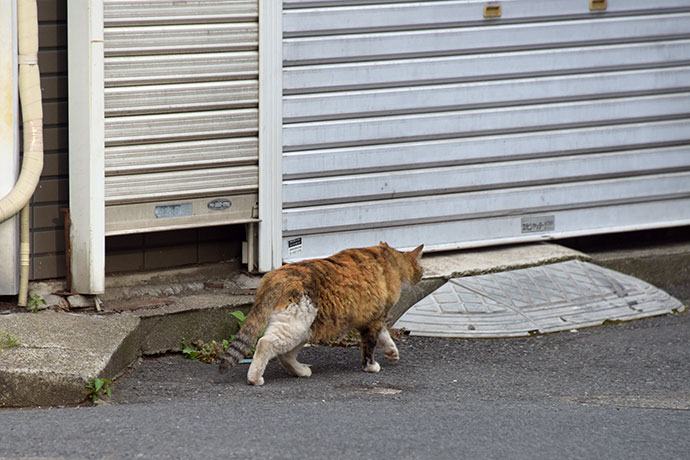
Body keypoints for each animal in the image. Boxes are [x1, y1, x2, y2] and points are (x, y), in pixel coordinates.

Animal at [220, 243, 422, 386]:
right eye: (421, 270)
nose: (420, 277)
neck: (387, 259)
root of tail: (275, 276)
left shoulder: (374, 318)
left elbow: (384, 336)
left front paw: (392, 352)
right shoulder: (372, 320)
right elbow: (369, 346)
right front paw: (371, 367)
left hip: (306, 328)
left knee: (285, 355)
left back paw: (301, 371)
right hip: (296, 325)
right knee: (265, 344)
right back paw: (255, 379)